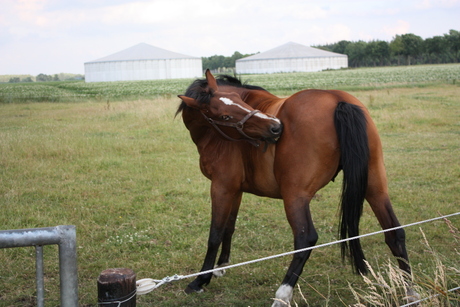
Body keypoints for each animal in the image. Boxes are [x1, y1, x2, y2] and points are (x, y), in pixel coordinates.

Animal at [176, 71, 414, 306]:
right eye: (225, 116)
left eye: (238, 102)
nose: (275, 126)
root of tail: (338, 100)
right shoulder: (235, 190)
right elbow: (229, 227)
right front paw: (221, 266)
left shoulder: (221, 187)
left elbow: (215, 234)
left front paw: (200, 280)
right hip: (375, 189)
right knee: (394, 232)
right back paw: (410, 291)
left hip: (294, 196)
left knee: (305, 239)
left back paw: (282, 295)